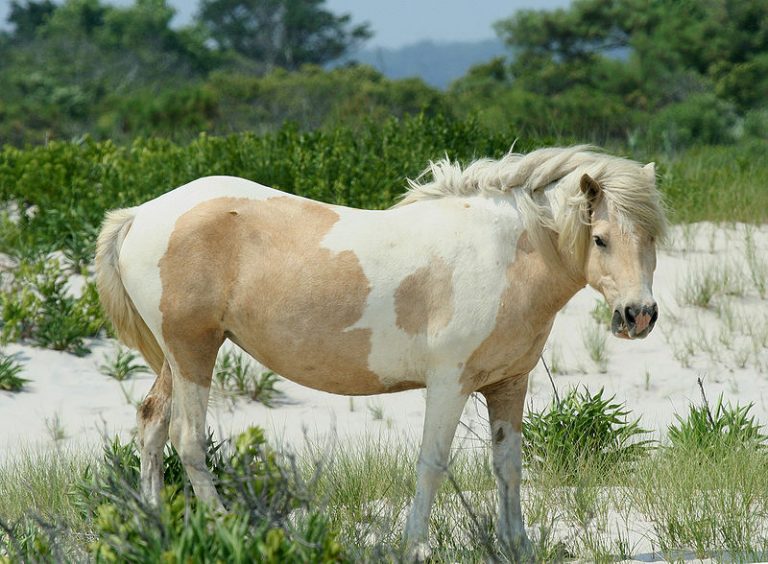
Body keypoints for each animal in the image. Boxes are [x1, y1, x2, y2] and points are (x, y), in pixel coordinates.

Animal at [95, 144, 666, 557]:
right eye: (600, 239)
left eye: (651, 239)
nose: (639, 315)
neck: (504, 254)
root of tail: (142, 214)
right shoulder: (450, 384)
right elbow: (432, 464)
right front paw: (416, 548)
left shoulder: (509, 383)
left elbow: (508, 466)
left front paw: (518, 546)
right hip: (193, 352)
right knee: (189, 441)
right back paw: (225, 530)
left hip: (175, 358)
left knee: (152, 425)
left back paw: (157, 530)